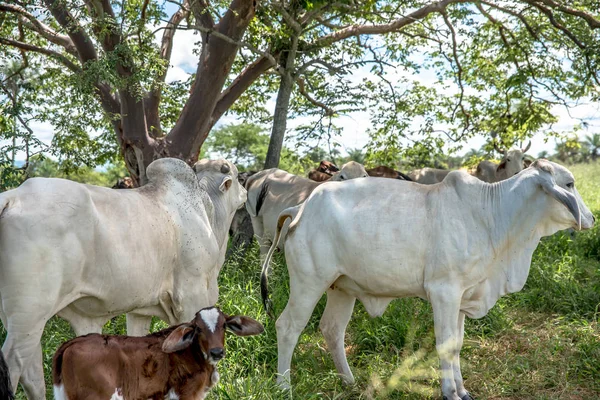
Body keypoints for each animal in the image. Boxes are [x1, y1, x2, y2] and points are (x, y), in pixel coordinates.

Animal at [262, 160, 596, 400]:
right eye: (569, 184)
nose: (591, 219)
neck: (492, 215)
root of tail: (301, 207)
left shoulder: (462, 296)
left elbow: (457, 344)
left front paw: (463, 390)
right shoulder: (444, 292)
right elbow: (446, 344)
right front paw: (450, 393)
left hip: (341, 288)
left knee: (332, 330)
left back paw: (350, 383)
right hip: (309, 283)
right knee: (287, 327)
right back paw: (283, 387)